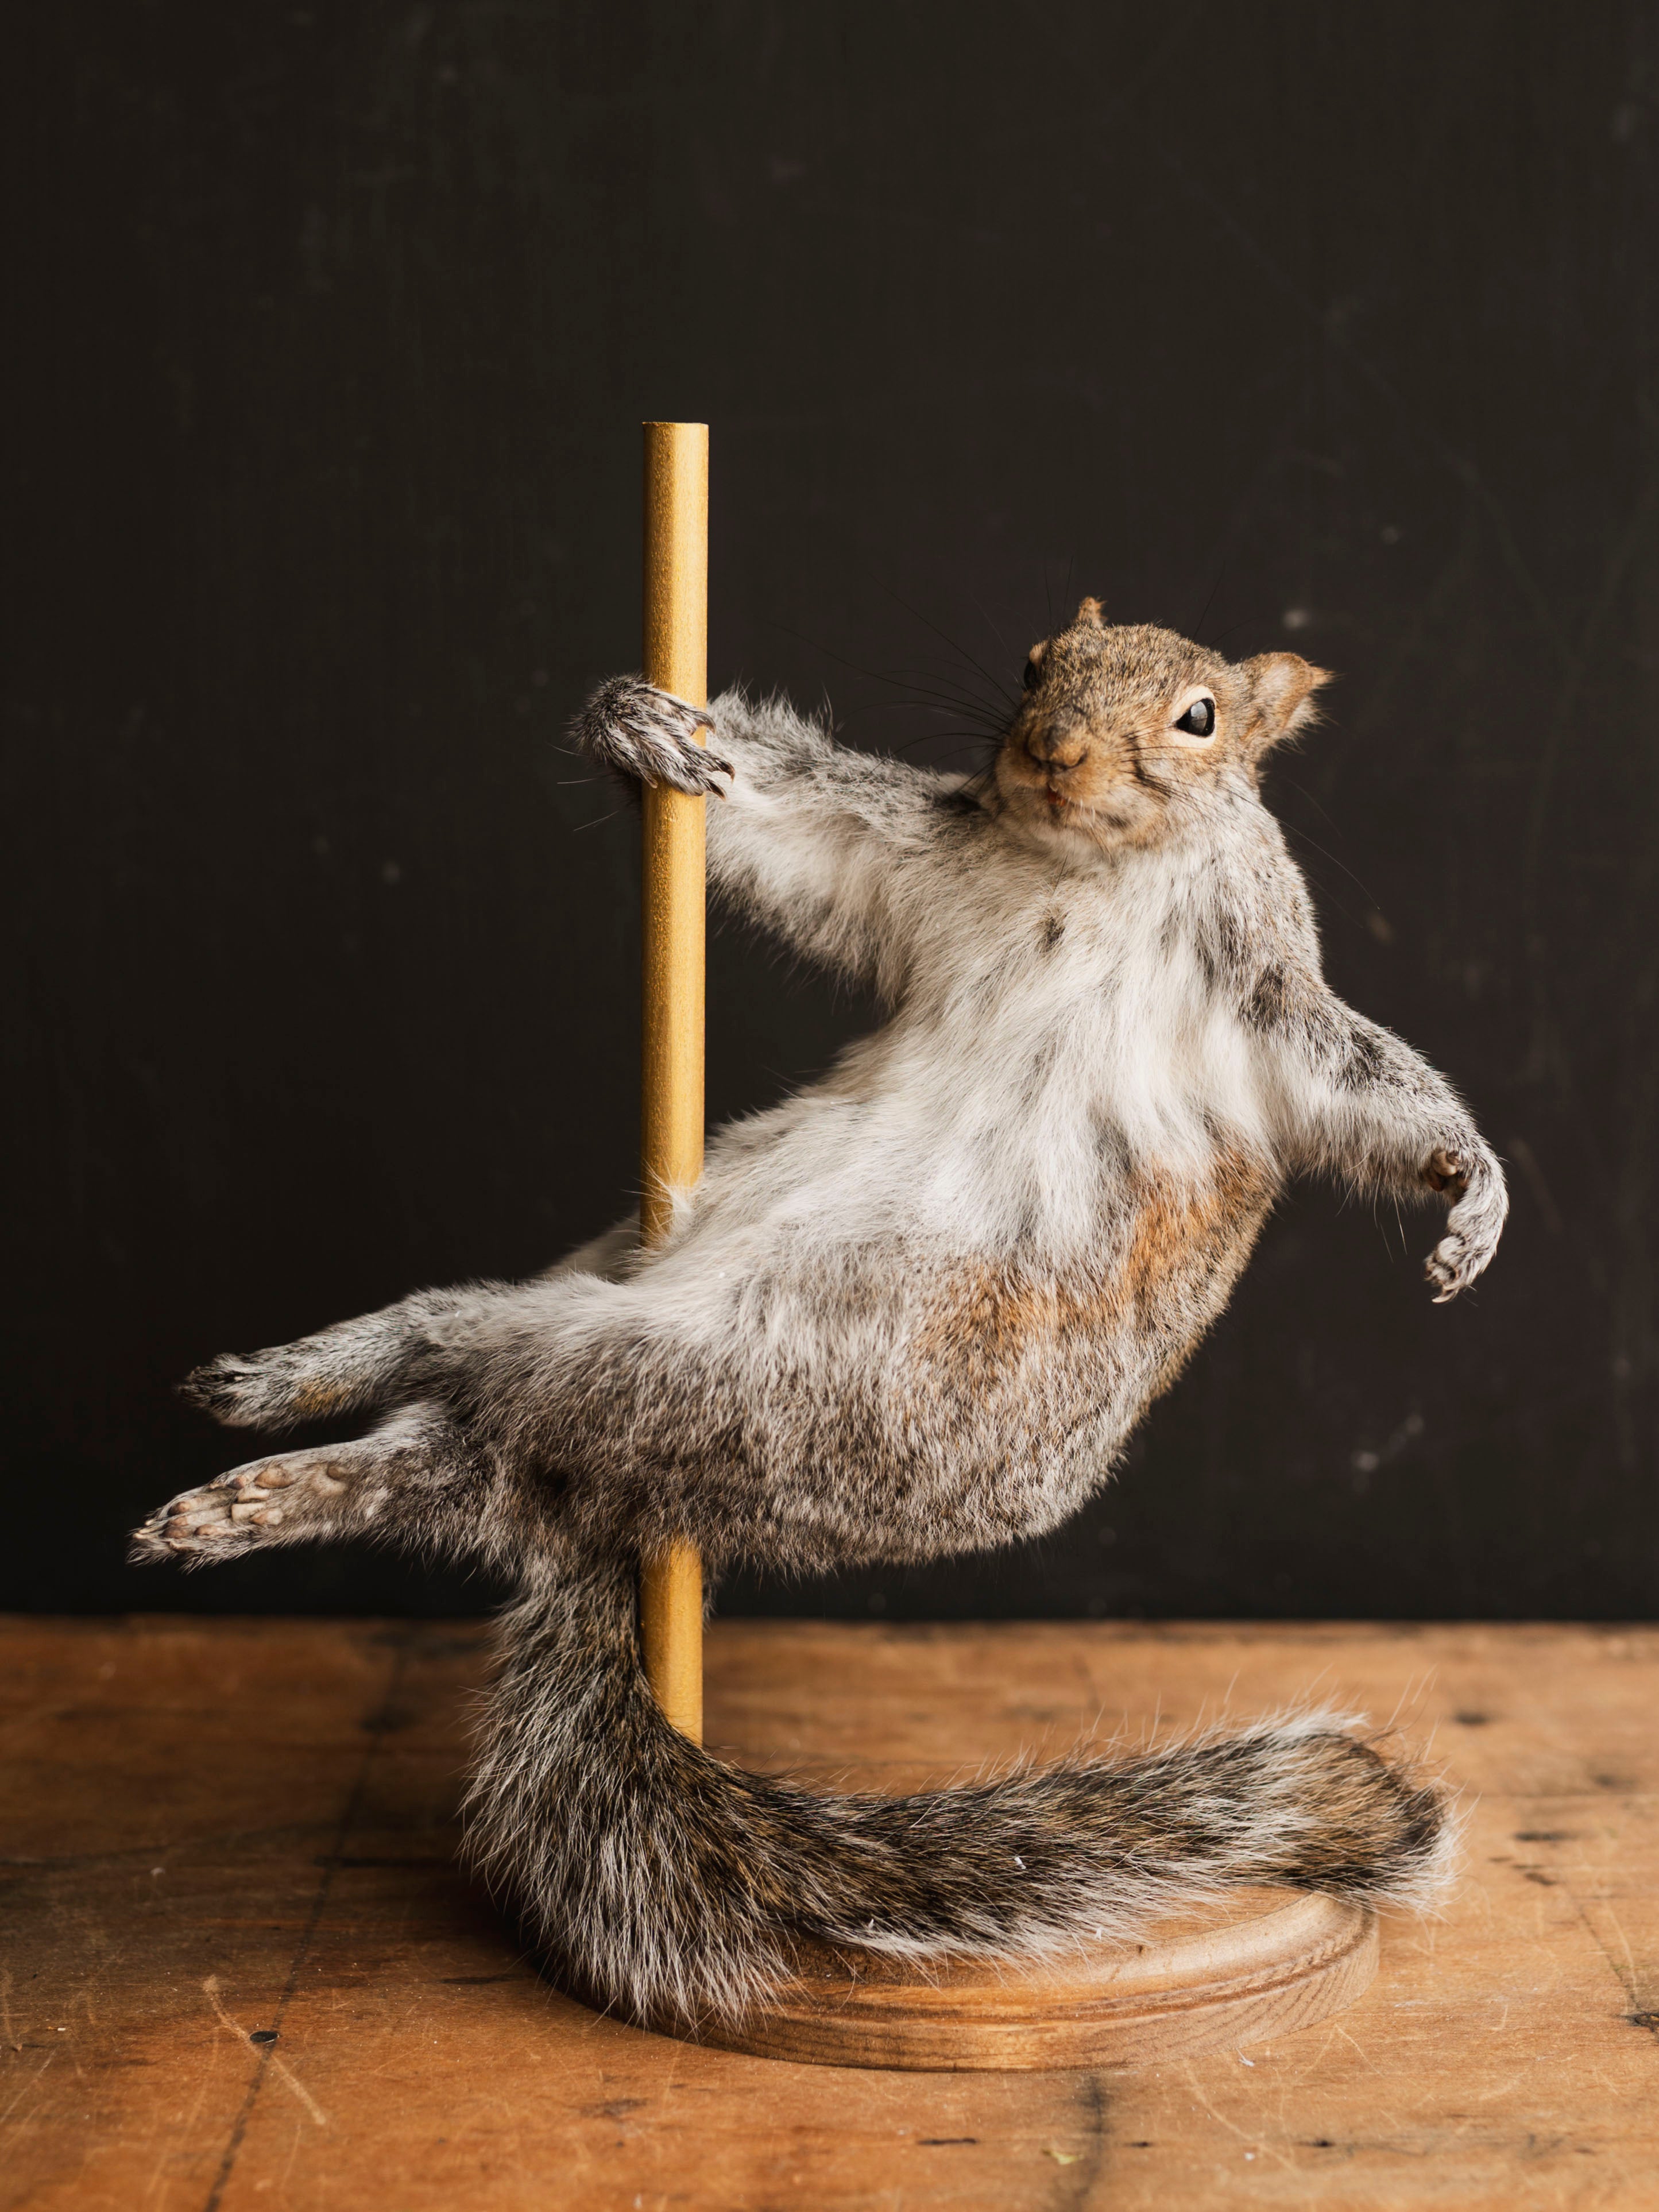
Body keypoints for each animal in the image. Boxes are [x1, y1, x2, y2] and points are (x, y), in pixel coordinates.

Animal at [133, 600, 1504, 2030]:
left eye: (1201, 717)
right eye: (1032, 665)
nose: (1053, 750)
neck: (1081, 866)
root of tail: (614, 1505)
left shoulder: (1259, 996)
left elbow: (1366, 1084)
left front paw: (1473, 1192)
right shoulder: (910, 856)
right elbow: (803, 832)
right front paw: (643, 726)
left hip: (705, 1379)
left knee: (466, 1450)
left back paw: (256, 1492)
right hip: (613, 1295)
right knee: (453, 1371)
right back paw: (286, 1383)